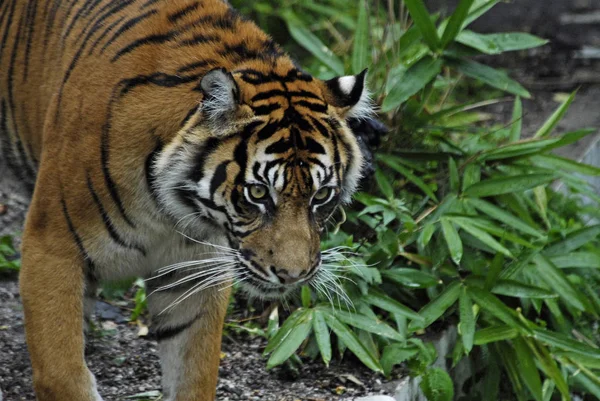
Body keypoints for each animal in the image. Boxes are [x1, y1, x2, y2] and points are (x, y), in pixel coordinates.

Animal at [0, 0, 384, 398]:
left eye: (321, 195)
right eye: (258, 192)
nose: (292, 276)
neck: (168, 213)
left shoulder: (192, 271)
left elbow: (193, 372)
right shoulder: (52, 248)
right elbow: (61, 369)